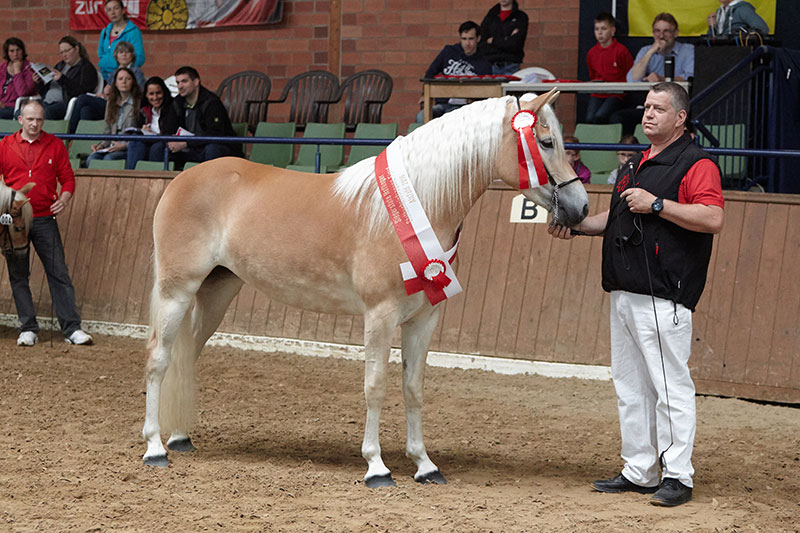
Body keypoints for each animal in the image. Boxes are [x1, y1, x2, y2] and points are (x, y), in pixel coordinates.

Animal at [142, 89, 589, 487]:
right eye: (545, 141)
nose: (580, 208)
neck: (415, 207)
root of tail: (183, 178)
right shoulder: (380, 314)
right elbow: (375, 387)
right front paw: (376, 467)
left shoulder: (423, 319)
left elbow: (413, 388)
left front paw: (424, 464)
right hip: (176, 291)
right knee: (159, 359)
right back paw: (155, 447)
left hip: (216, 294)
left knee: (185, 357)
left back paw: (179, 437)